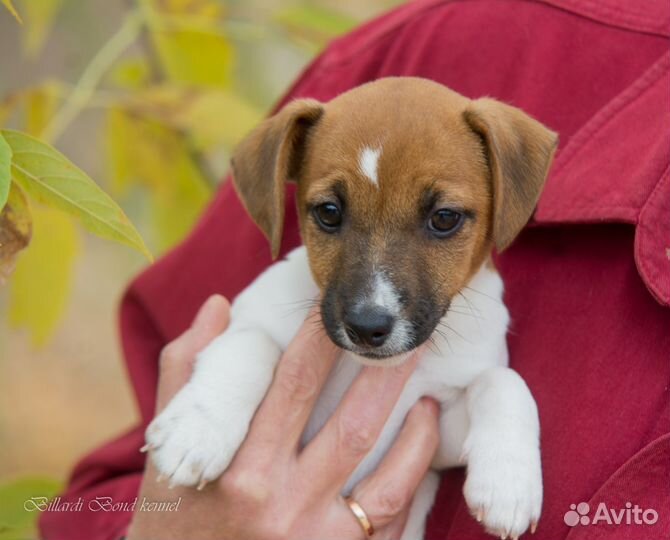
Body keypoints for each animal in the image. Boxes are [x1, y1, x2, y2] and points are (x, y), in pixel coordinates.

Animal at [144, 77, 560, 540]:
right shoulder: (247, 317)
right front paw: (196, 429)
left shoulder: (435, 431)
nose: (366, 326)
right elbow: (248, 344)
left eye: (444, 218)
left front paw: (509, 481)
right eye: (329, 212)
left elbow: (504, 382)